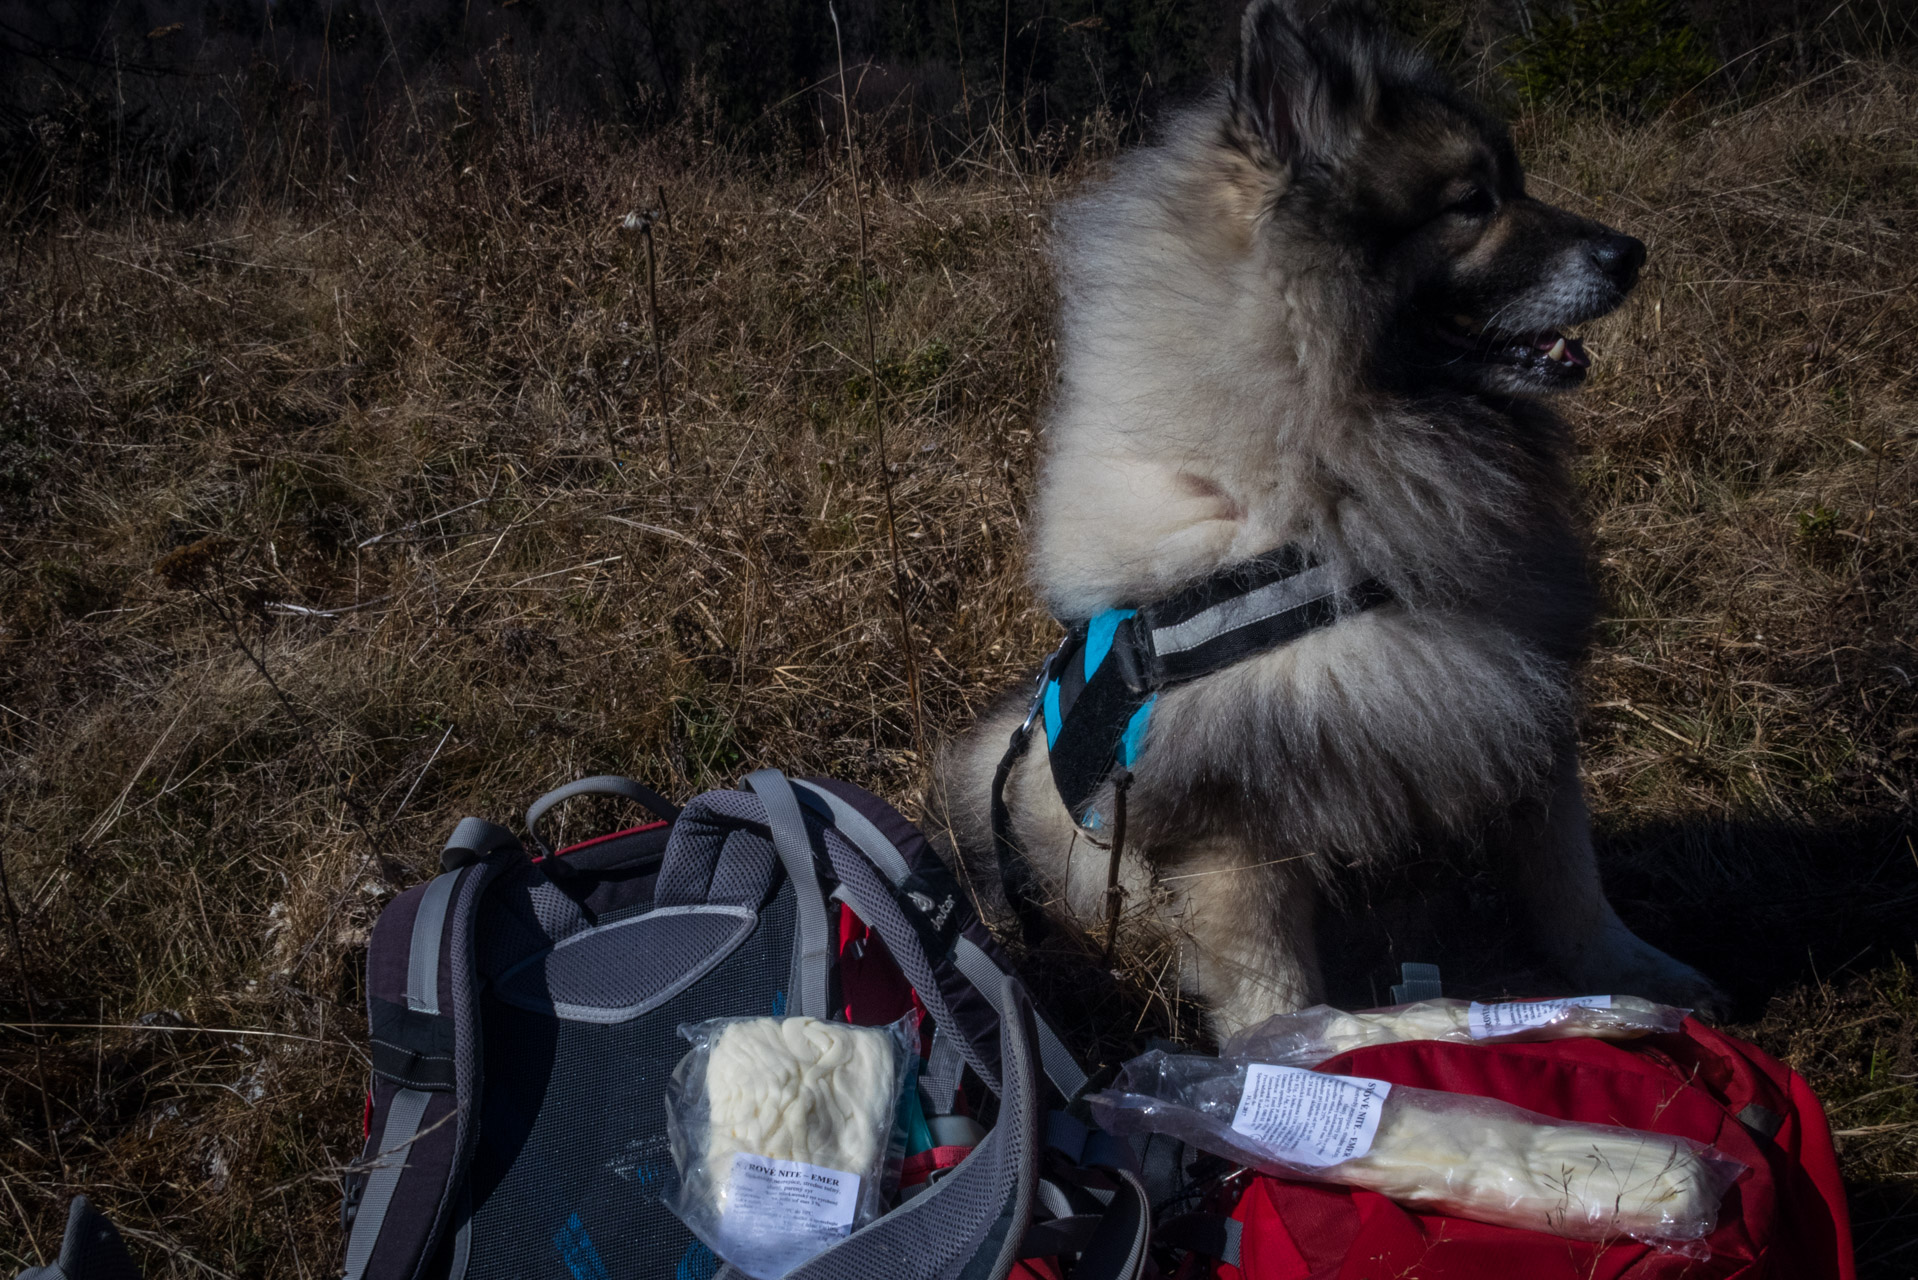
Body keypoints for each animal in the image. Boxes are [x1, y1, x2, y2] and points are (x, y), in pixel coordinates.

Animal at [935, 0, 1733, 1036]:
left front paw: (1640, 979)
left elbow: (1572, 885)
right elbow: (1271, 977)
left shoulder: (1515, 699)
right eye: (1471, 203)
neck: (1337, 479)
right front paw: (1293, 1060)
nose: (1631, 253)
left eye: (1511, 185)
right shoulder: (1240, 815)